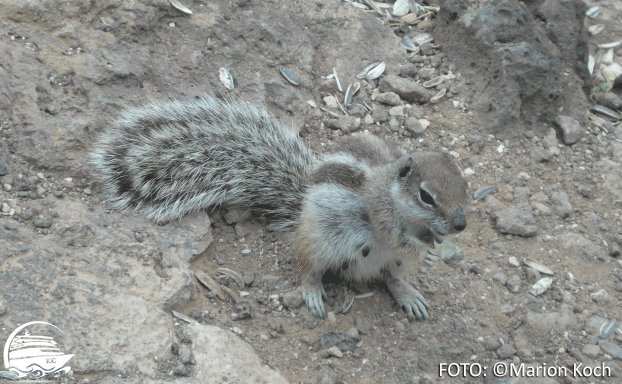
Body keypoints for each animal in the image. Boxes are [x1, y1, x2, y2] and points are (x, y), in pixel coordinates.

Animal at [92, 96, 468, 320]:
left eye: (465, 188)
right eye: (426, 196)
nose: (460, 226)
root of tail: (301, 207)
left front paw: (440, 250)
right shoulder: (380, 213)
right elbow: (394, 238)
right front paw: (433, 248)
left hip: (383, 262)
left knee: (392, 275)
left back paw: (409, 293)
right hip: (321, 242)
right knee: (306, 266)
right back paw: (313, 292)